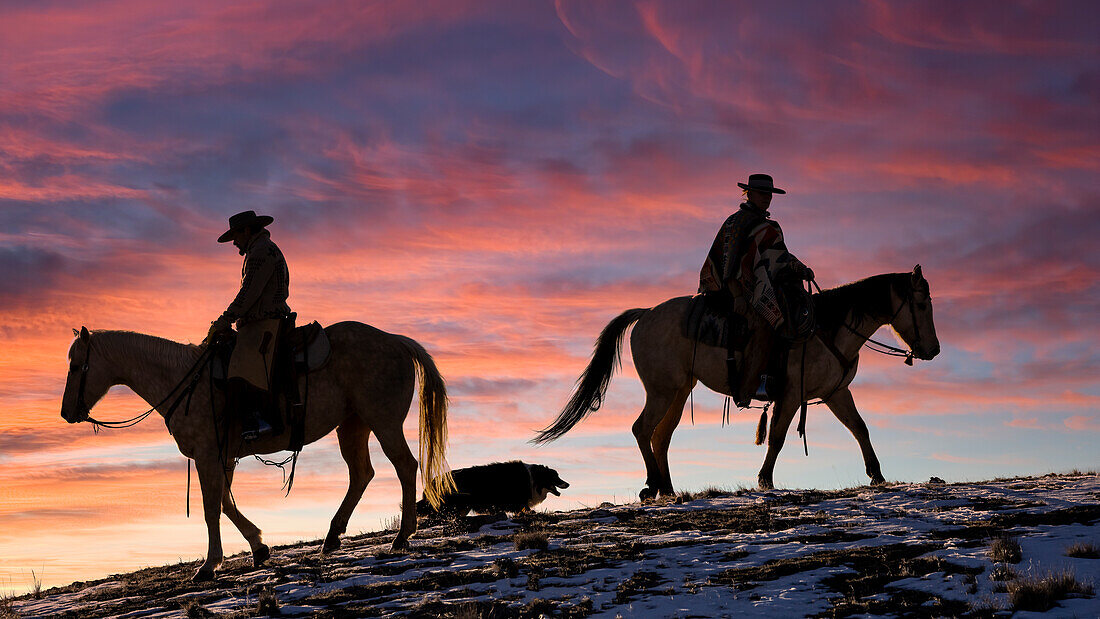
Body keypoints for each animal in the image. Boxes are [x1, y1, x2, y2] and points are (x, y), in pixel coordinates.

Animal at [418, 459, 572, 518]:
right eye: (555, 476)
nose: (568, 484)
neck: (533, 478)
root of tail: (431, 483)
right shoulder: (518, 499)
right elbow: (525, 508)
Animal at [536, 266, 941, 499]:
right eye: (922, 305)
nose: (933, 350)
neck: (827, 329)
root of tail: (646, 313)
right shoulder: (790, 394)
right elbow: (777, 437)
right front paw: (765, 480)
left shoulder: (835, 392)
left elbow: (860, 428)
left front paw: (877, 475)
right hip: (662, 390)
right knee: (642, 429)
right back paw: (651, 486)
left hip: (679, 391)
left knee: (660, 436)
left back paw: (667, 488)